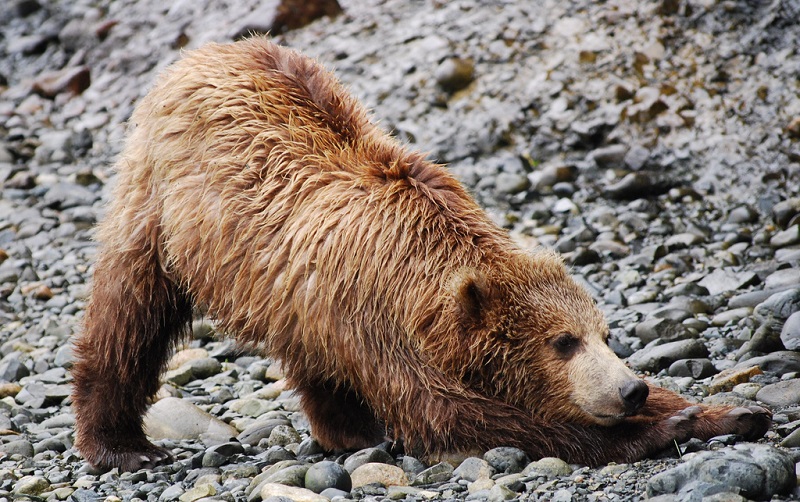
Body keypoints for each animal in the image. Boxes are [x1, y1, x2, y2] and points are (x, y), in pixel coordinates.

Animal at [72, 38, 772, 470]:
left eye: (606, 333)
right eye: (562, 342)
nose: (628, 389)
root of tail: (204, 52)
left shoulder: (350, 306)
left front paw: (729, 412)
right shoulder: (377, 322)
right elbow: (456, 415)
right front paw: (653, 430)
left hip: (289, 290)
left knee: (308, 357)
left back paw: (347, 431)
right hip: (162, 208)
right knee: (127, 315)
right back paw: (122, 444)